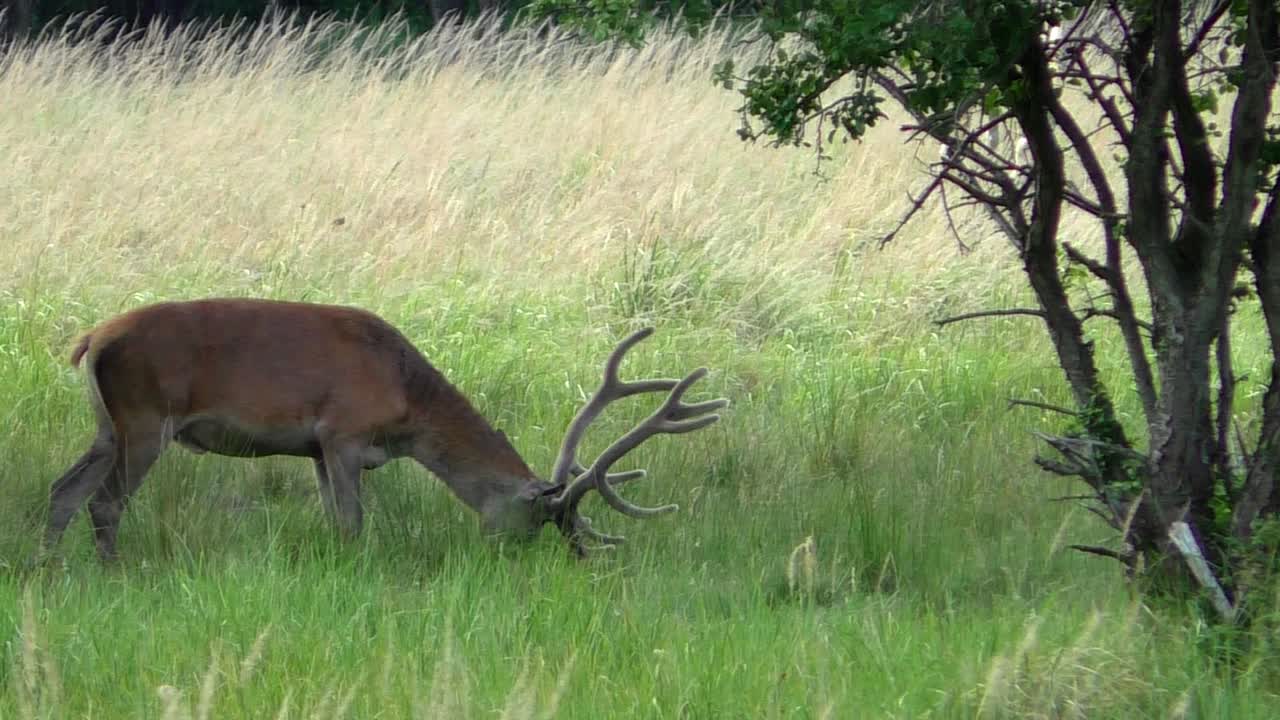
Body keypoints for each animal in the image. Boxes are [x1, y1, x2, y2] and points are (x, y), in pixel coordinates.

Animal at [40, 298, 729, 562]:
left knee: (63, 490)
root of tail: (91, 339)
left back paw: (46, 569)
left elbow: (332, 519)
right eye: (539, 518)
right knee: (105, 502)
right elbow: (352, 524)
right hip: (144, 418)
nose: (510, 555)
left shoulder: (316, 448)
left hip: (107, 425)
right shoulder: (342, 432)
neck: (407, 408)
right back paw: (114, 571)